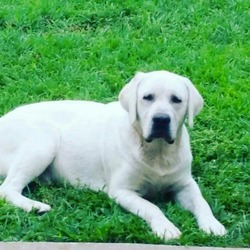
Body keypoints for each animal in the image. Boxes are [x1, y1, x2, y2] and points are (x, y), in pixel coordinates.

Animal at [0, 70, 226, 240]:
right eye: (147, 97)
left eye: (177, 100)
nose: (161, 119)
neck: (158, 152)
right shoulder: (122, 191)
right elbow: (151, 206)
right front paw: (165, 227)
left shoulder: (185, 184)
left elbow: (201, 201)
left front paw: (212, 224)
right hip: (43, 143)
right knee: (7, 189)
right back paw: (35, 206)